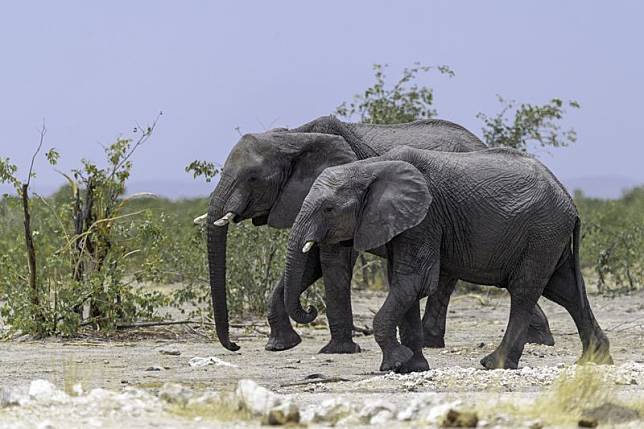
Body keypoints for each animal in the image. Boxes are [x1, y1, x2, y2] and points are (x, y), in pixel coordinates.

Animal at [203, 113, 552, 352]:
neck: (293, 137)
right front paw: (280, 346)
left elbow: (331, 261)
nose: (235, 346)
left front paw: (339, 350)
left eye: (252, 178)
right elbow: (310, 262)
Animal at [284, 145, 612, 372]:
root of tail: (569, 200)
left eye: (328, 209)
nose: (311, 309)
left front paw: (394, 363)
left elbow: (414, 282)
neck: (369, 167)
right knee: (565, 290)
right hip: (550, 236)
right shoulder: (404, 224)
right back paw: (594, 361)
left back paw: (494, 364)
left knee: (525, 291)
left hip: (542, 232)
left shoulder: (425, 218)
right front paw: (412, 367)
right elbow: (403, 285)